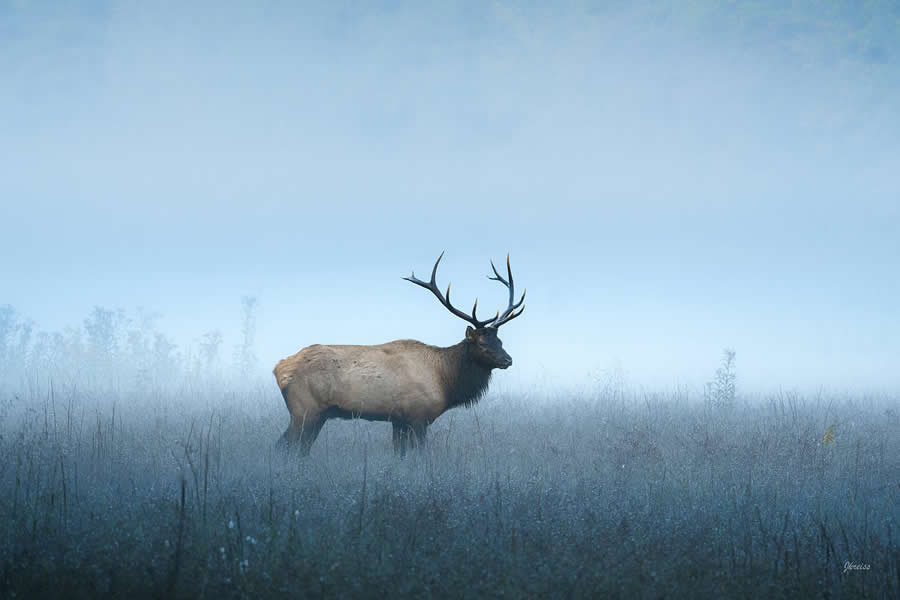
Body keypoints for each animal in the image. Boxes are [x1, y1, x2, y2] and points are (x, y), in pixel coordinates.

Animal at [273, 252, 525, 456]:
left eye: (500, 340)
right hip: (304, 410)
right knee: (284, 446)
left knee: (297, 448)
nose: (508, 360)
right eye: (482, 344)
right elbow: (419, 455)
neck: (445, 381)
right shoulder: (418, 416)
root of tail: (279, 369)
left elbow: (400, 455)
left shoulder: (399, 420)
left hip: (317, 414)